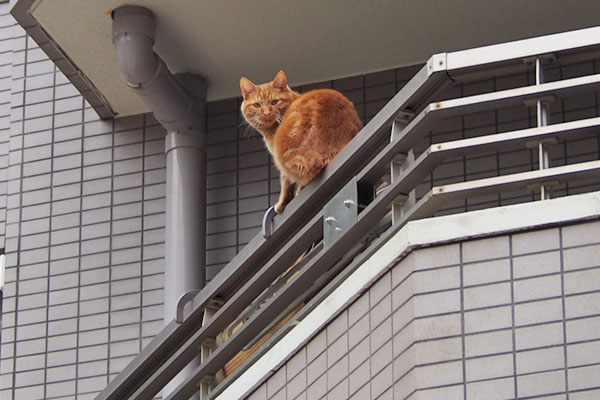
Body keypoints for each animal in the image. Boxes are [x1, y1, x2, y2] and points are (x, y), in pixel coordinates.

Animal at [239, 69, 360, 212]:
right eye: (257, 105)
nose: (267, 113)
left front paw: (281, 204)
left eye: (274, 102)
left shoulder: (281, 164)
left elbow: (285, 183)